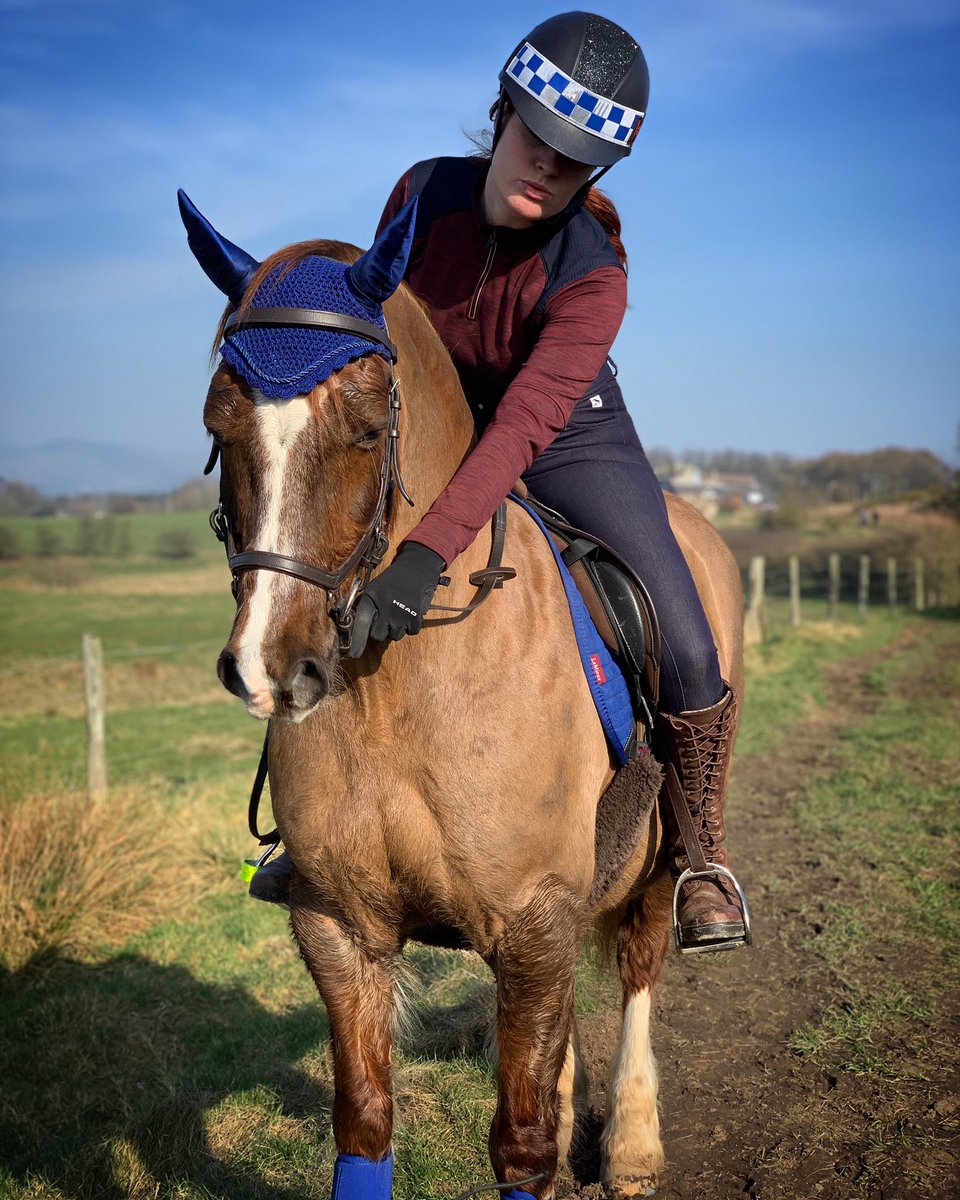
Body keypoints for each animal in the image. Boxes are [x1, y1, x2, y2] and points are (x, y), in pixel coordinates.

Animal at [180, 191, 744, 1200]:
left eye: (369, 427)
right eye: (219, 425)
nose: (270, 668)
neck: (398, 689)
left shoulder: (531, 920)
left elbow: (519, 1142)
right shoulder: (342, 930)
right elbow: (367, 1123)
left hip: (661, 859)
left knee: (639, 964)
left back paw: (633, 1147)